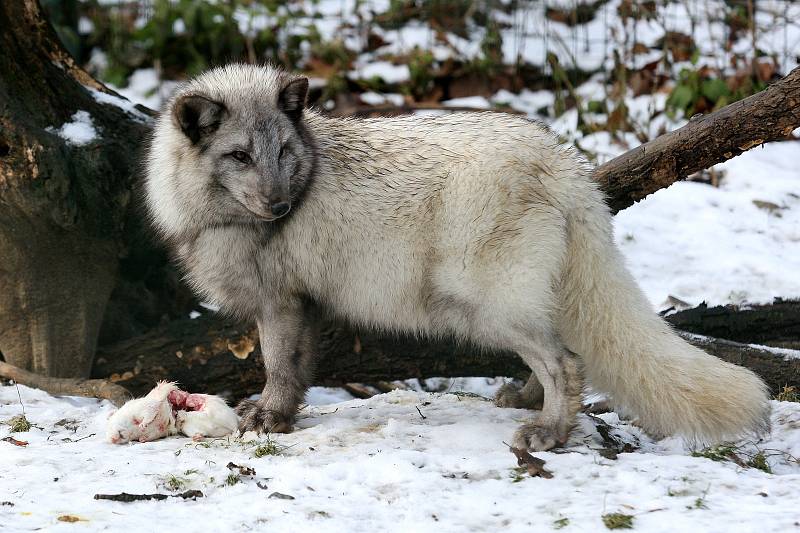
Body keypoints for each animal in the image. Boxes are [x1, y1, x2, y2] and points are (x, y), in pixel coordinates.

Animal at [144, 64, 768, 450]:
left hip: (486, 308)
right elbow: (297, 372)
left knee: (566, 362)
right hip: (523, 303)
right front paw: (286, 415)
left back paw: (550, 433)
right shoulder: (302, 305)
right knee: (563, 356)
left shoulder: (280, 303)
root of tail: (564, 165)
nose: (280, 207)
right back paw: (530, 402)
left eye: (282, 152)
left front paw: (269, 418)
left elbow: (278, 367)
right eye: (240, 156)